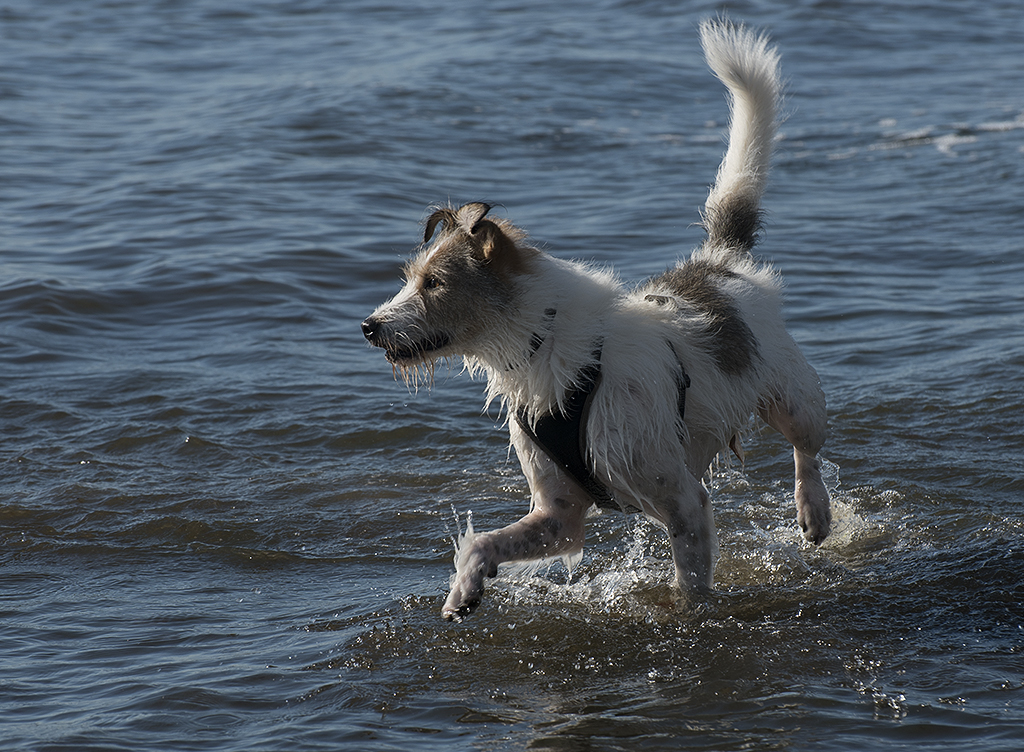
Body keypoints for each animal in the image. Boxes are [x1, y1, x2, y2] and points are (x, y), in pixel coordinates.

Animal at [364, 20, 827, 622]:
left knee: (808, 449)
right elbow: (483, 543)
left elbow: (692, 586)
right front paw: (464, 589)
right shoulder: (558, 514)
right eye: (410, 278)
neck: (547, 349)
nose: (369, 326)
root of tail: (719, 258)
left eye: (434, 283)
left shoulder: (683, 500)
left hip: (791, 399)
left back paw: (814, 509)